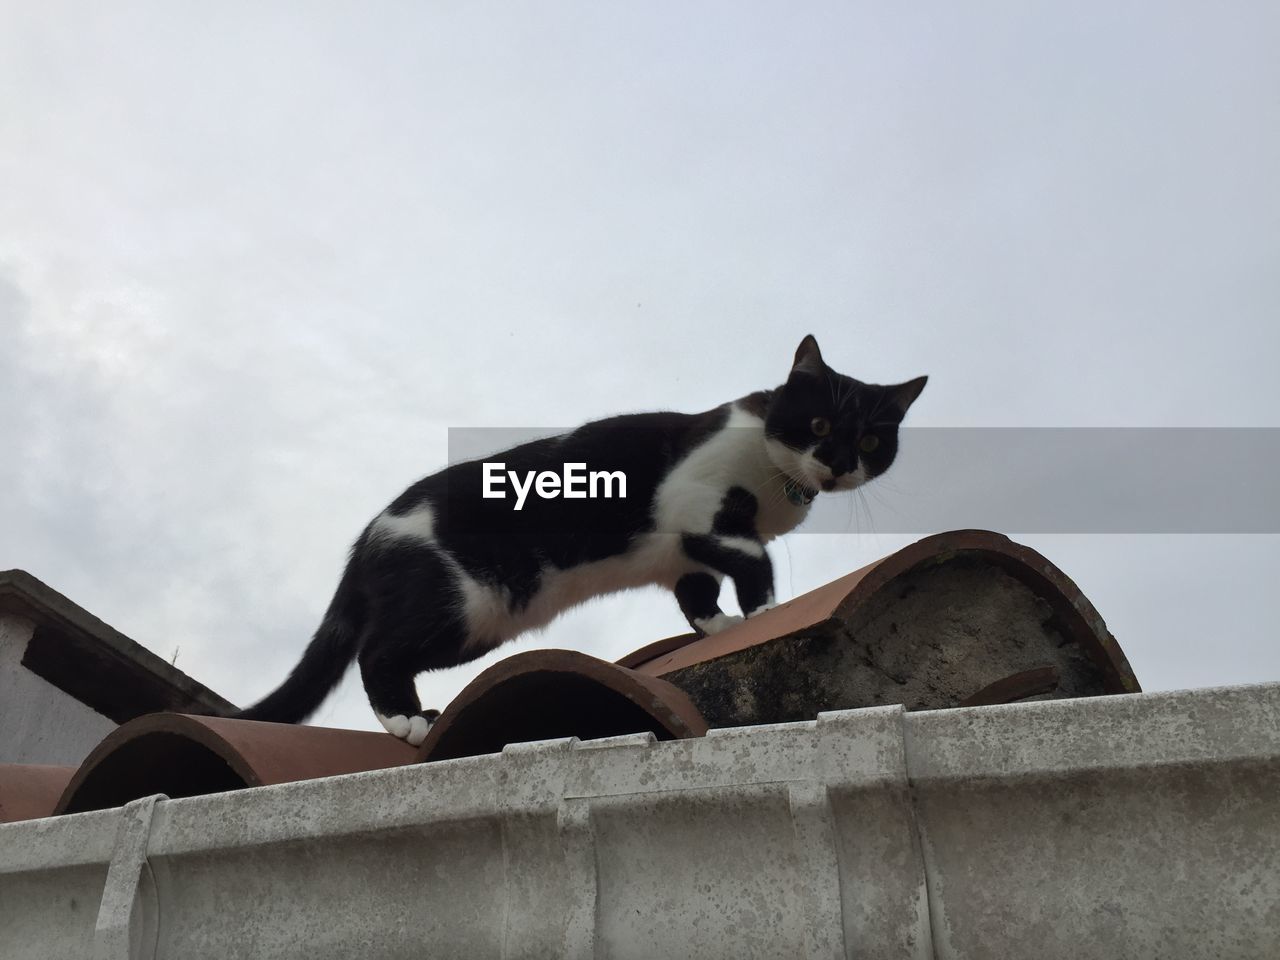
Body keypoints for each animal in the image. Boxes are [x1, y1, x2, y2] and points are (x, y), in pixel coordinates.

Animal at [235, 335, 926, 747]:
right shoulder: (693, 500)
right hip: (465, 606)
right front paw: (761, 609)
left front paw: (722, 624)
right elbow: (751, 556)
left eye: (870, 441)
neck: (778, 481)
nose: (836, 465)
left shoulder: (687, 552)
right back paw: (406, 719)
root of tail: (367, 539)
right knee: (377, 652)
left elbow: (697, 589)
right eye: (820, 425)